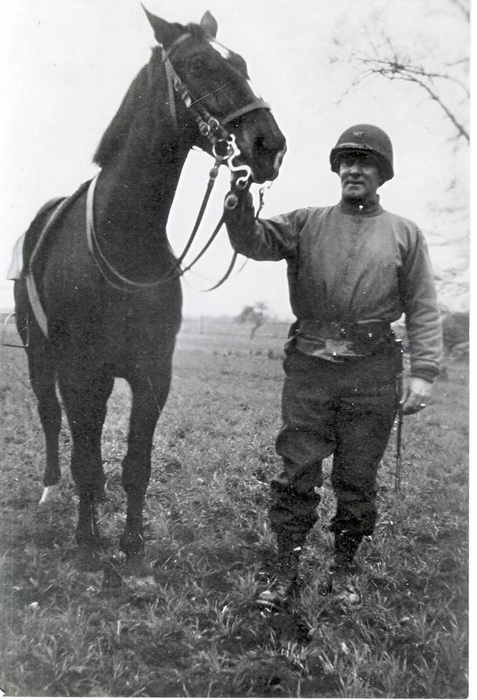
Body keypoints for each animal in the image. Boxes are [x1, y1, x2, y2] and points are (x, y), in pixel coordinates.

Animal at [13, 8, 284, 572]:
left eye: (242, 63)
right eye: (199, 65)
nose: (269, 145)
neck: (124, 237)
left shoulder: (152, 373)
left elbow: (136, 462)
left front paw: (132, 542)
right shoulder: (81, 371)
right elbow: (85, 457)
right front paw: (88, 542)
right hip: (38, 353)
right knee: (51, 419)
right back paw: (51, 490)